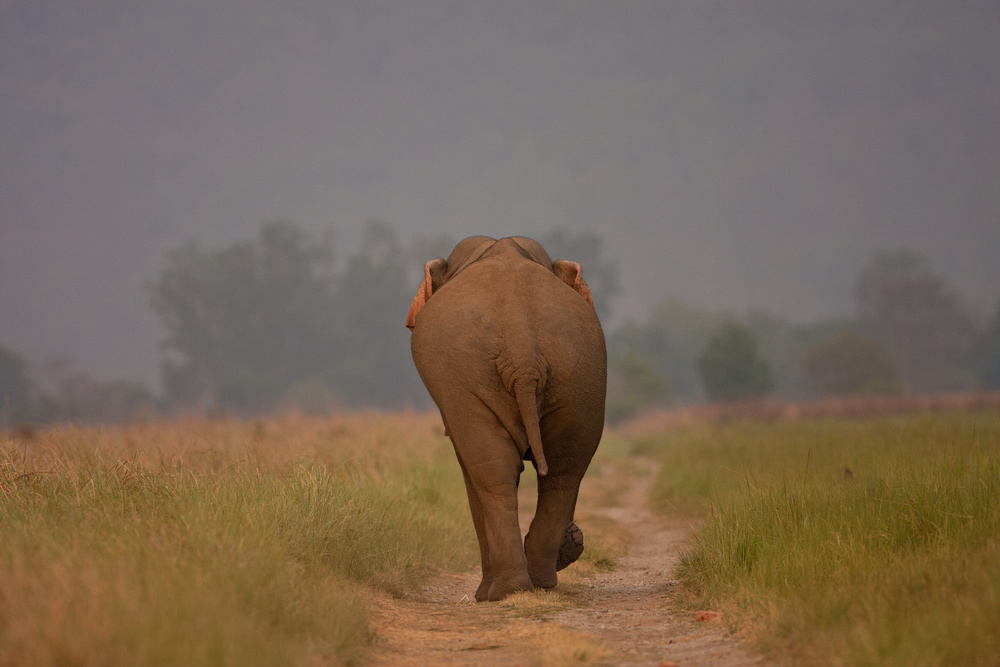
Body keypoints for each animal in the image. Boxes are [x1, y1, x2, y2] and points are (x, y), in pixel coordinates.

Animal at [406, 235, 607, 601]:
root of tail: (522, 351)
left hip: (467, 379)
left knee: (493, 471)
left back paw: (499, 592)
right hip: (580, 371)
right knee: (564, 470)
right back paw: (538, 581)